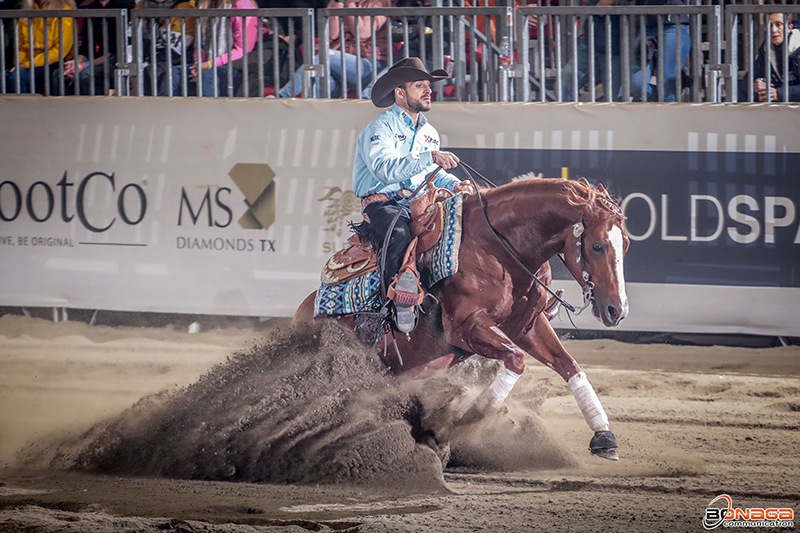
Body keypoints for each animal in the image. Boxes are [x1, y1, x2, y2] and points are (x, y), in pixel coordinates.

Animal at [294, 177, 632, 460]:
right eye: (597, 245)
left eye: (626, 244)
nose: (618, 310)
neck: (497, 249)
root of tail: (302, 314)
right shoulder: (466, 327)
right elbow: (516, 360)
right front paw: (462, 421)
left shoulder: (529, 326)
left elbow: (569, 366)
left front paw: (604, 437)